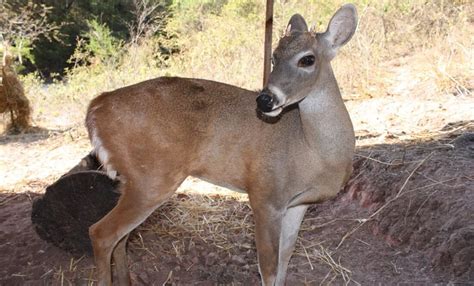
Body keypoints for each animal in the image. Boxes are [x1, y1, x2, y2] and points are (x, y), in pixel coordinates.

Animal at [87, 3, 358, 284]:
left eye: (307, 59)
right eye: (273, 58)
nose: (265, 100)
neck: (312, 152)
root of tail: (95, 108)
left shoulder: (298, 203)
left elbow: (285, 257)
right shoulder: (264, 193)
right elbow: (268, 267)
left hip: (131, 179)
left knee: (121, 237)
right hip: (151, 177)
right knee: (101, 233)